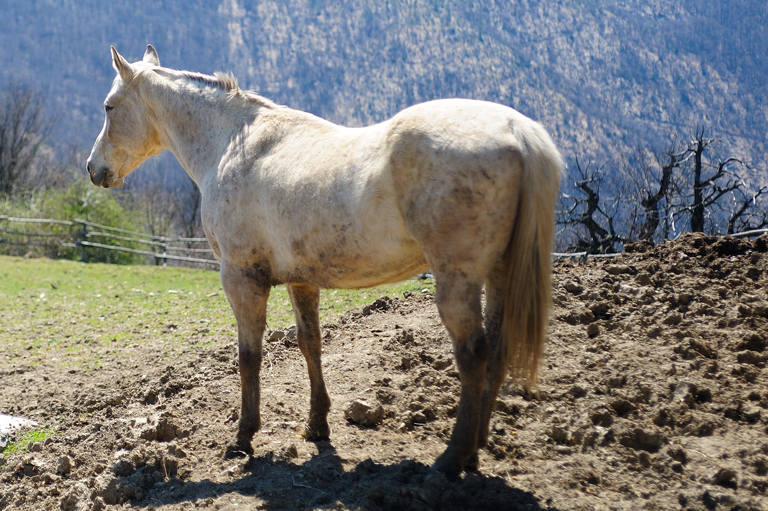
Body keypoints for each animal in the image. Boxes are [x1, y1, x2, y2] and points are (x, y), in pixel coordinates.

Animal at [86, 45, 562, 475]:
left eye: (109, 106)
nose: (93, 169)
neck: (232, 144)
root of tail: (518, 130)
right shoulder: (302, 280)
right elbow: (310, 344)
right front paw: (317, 425)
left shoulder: (242, 279)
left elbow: (248, 357)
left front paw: (243, 438)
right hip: (498, 275)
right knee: (497, 351)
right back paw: (476, 449)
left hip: (457, 280)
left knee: (473, 355)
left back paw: (452, 457)